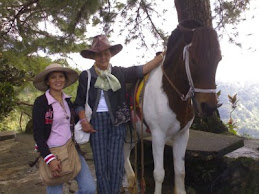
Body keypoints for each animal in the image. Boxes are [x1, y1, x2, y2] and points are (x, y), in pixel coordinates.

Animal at [125, 20, 222, 194]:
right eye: (193, 61)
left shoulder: (183, 135)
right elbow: (159, 174)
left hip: (132, 134)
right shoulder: (158, 136)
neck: (170, 95)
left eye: (218, 60)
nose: (209, 107)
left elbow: (180, 172)